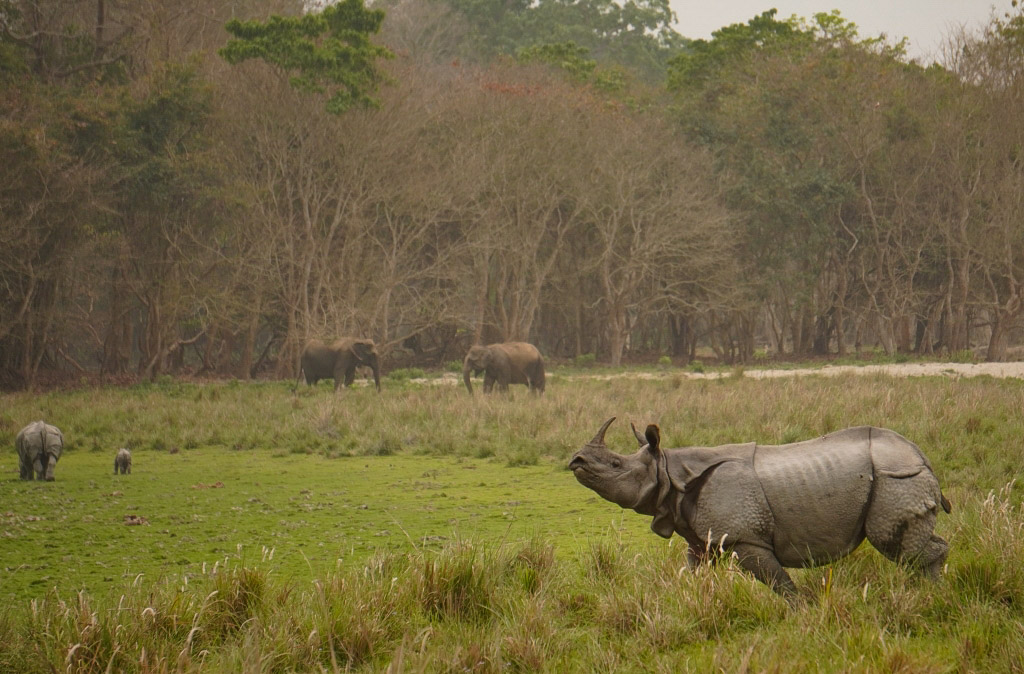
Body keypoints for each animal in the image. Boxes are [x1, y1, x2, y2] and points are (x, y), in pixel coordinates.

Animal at [569, 418, 951, 597]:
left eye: (616, 465)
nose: (576, 461)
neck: (670, 472)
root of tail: (921, 456)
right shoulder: (703, 540)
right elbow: (692, 574)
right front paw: (688, 601)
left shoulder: (745, 538)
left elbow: (779, 583)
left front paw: (802, 614)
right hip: (896, 475)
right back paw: (928, 591)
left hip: (895, 477)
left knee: (894, 544)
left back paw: (930, 595)